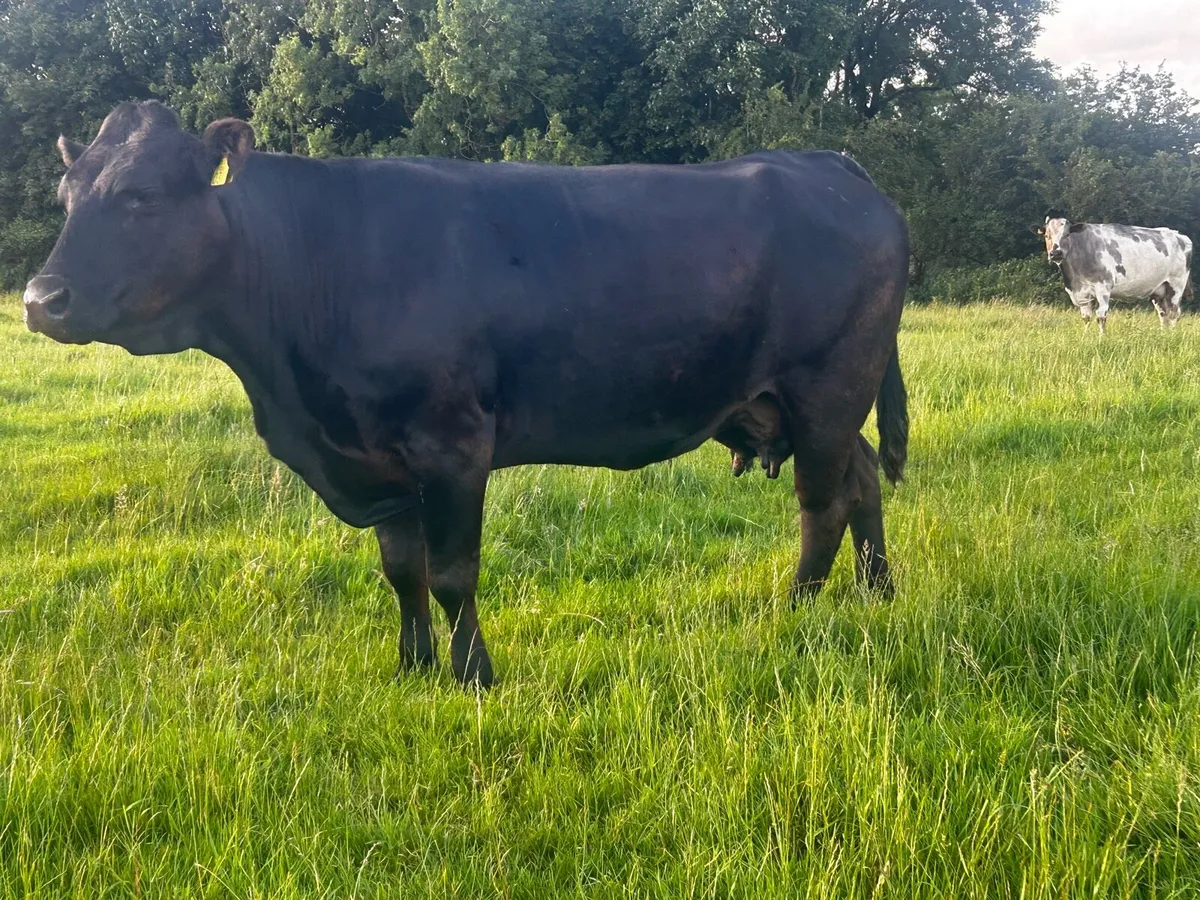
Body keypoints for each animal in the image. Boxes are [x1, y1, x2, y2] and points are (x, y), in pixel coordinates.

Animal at [23, 101, 910, 688]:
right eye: (67, 199)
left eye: (139, 197)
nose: (39, 299)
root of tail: (827, 162)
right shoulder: (375, 457)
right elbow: (400, 569)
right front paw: (412, 665)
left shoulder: (450, 445)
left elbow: (451, 571)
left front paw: (472, 673)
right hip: (794, 400)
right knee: (863, 478)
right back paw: (878, 594)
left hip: (828, 385)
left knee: (823, 504)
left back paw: (795, 612)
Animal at [1032, 216, 1194, 334]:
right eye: (1047, 235)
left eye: (1067, 234)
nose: (1056, 253)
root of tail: (1179, 235)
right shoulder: (1082, 293)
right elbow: (1086, 317)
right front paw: (1085, 337)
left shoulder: (1103, 287)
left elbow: (1101, 316)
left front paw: (1101, 338)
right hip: (1159, 290)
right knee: (1163, 314)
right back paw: (1162, 335)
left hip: (1176, 285)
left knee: (1173, 313)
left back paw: (1171, 336)